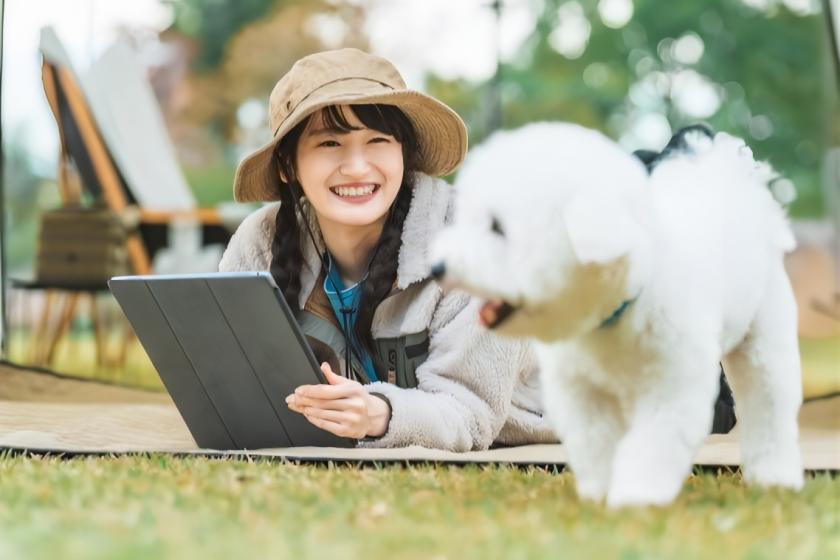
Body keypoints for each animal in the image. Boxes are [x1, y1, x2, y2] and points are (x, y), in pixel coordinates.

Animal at [430, 122, 804, 508]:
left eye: (498, 227)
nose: (438, 267)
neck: (613, 310)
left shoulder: (671, 386)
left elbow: (652, 446)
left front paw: (635, 500)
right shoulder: (584, 392)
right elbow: (597, 442)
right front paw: (600, 494)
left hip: (764, 336)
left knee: (769, 404)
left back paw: (775, 477)